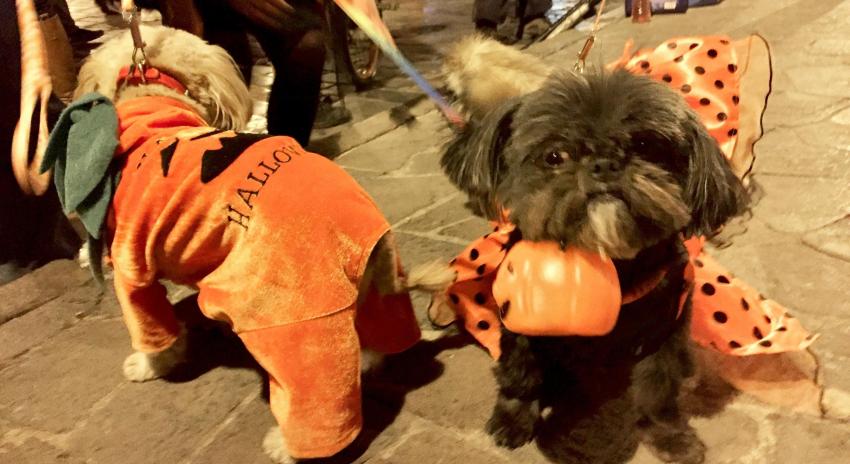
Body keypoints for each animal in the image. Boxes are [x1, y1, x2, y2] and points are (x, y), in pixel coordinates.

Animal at [440, 70, 744, 464]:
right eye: (554, 155)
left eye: (645, 145)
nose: (603, 164)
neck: (606, 263)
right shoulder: (521, 328)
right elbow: (520, 374)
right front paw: (512, 420)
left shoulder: (664, 332)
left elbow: (658, 390)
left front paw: (671, 437)